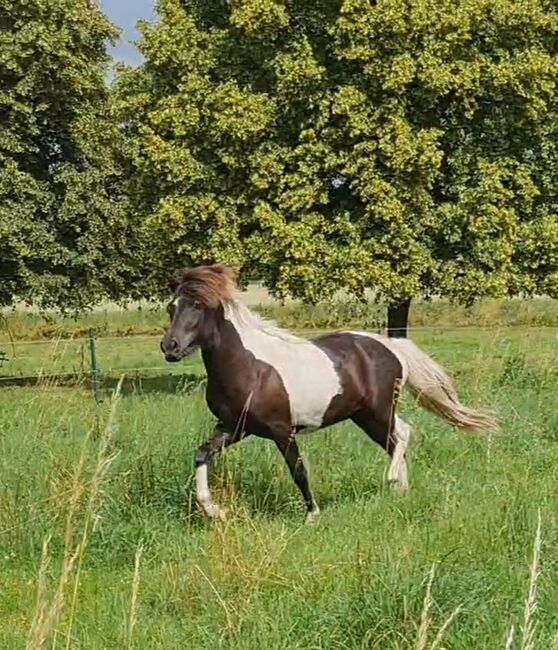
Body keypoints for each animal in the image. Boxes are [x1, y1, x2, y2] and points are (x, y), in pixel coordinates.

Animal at [162, 260, 498, 520]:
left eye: (198, 305)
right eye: (171, 307)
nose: (170, 347)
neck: (250, 367)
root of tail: (390, 346)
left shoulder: (282, 430)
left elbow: (299, 471)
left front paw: (312, 514)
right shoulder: (233, 427)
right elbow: (202, 454)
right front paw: (213, 511)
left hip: (379, 410)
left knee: (404, 434)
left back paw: (392, 481)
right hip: (364, 416)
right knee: (395, 443)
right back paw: (400, 492)